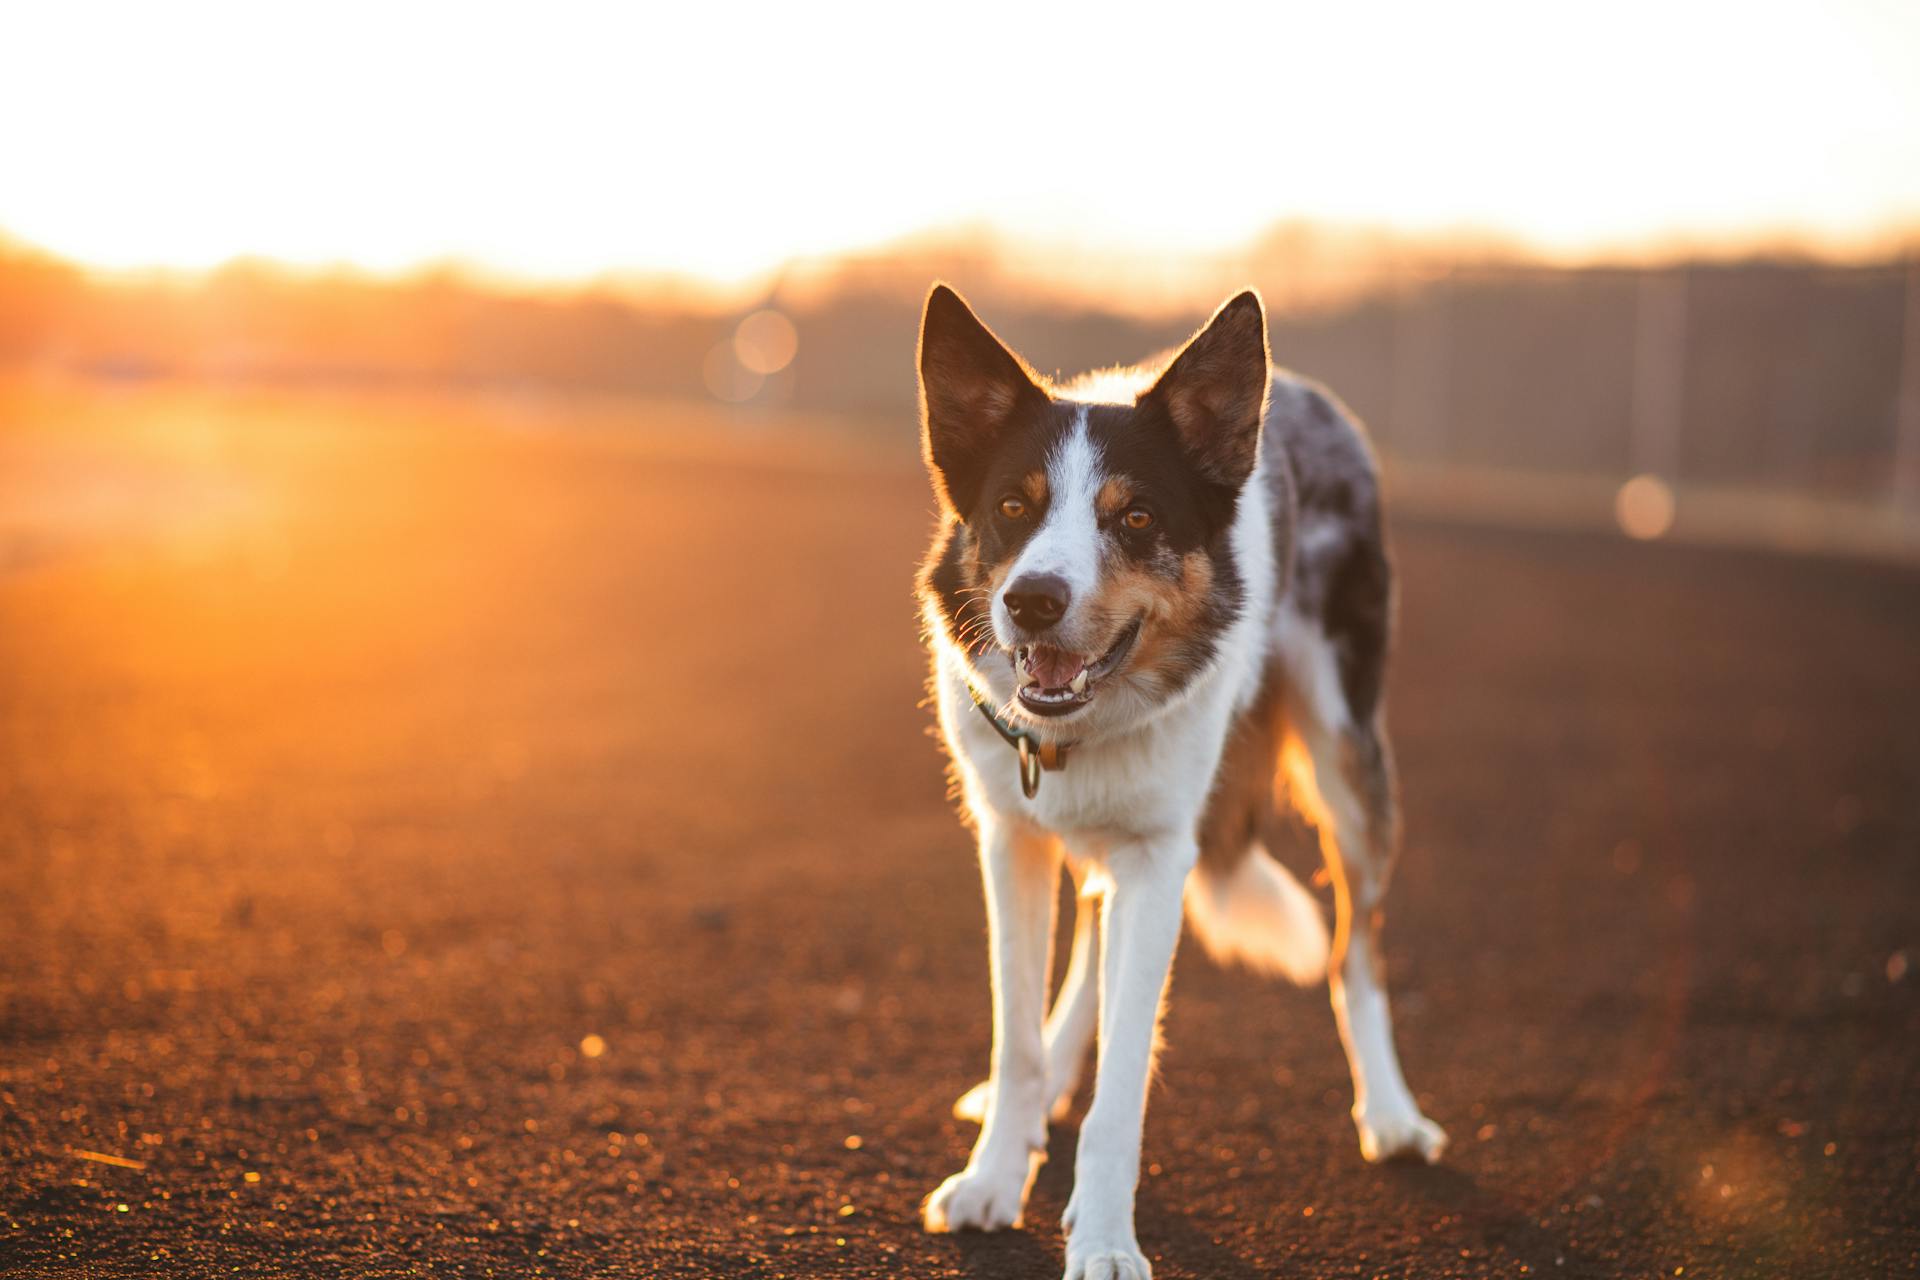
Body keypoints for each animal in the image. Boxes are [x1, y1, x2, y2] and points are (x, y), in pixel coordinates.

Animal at [910, 285, 1443, 1274]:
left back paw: (1391, 1116)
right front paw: (995, 1177)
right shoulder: (1013, 840)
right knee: (1093, 940)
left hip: (1350, 762)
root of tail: (1302, 390)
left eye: (1137, 519)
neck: (1076, 732)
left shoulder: (1161, 858)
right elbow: (1017, 1039)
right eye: (1014, 505)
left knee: (1357, 947)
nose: (1030, 600)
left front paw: (1104, 1238)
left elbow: (1126, 1082)